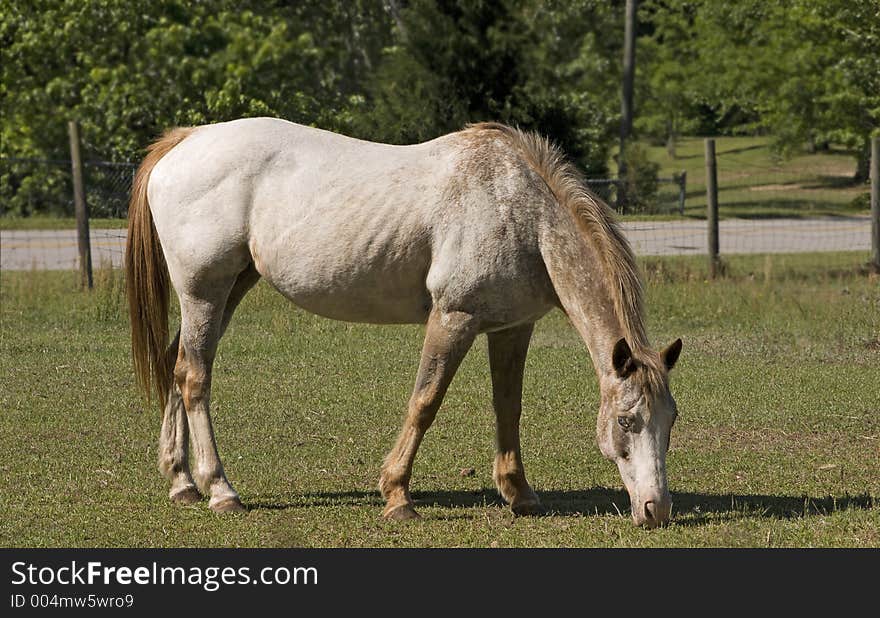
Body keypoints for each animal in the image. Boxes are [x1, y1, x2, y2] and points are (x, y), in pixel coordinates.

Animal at [127, 118, 684, 528]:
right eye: (626, 421)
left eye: (671, 420)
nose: (656, 510)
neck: (524, 214)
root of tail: (187, 141)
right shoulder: (454, 318)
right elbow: (424, 403)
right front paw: (397, 496)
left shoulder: (510, 329)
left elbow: (509, 408)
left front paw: (519, 493)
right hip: (205, 291)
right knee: (195, 377)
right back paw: (220, 490)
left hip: (229, 291)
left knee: (178, 365)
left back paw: (181, 483)